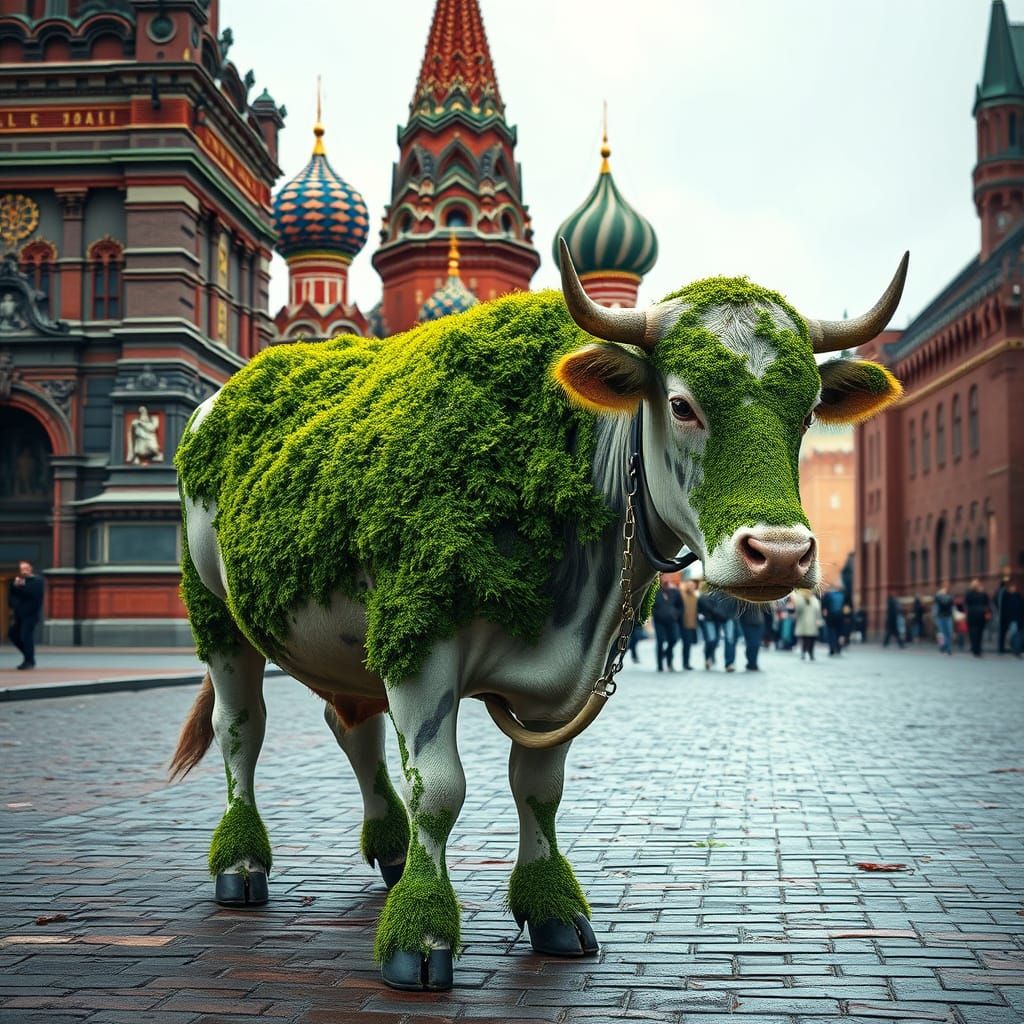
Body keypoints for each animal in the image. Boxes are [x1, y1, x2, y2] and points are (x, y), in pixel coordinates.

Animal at [170, 242, 907, 991]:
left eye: (809, 413)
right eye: (681, 404)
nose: (781, 555)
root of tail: (224, 395)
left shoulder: (562, 678)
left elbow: (539, 789)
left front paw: (552, 908)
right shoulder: (419, 648)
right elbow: (439, 789)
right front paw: (420, 934)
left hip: (350, 644)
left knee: (352, 729)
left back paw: (392, 851)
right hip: (219, 620)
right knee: (241, 728)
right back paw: (241, 862)